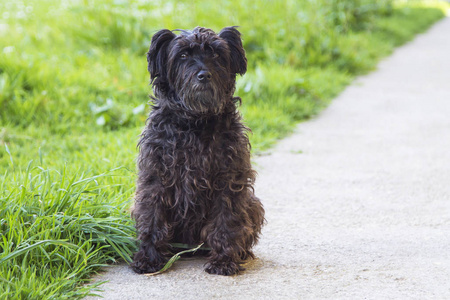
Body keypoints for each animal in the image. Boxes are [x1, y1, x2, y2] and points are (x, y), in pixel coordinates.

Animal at [130, 27, 264, 276]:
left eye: (217, 55)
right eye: (183, 55)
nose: (204, 75)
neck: (195, 122)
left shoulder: (229, 181)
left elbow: (226, 220)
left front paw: (224, 260)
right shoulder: (155, 178)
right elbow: (152, 217)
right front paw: (149, 258)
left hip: (253, 204)